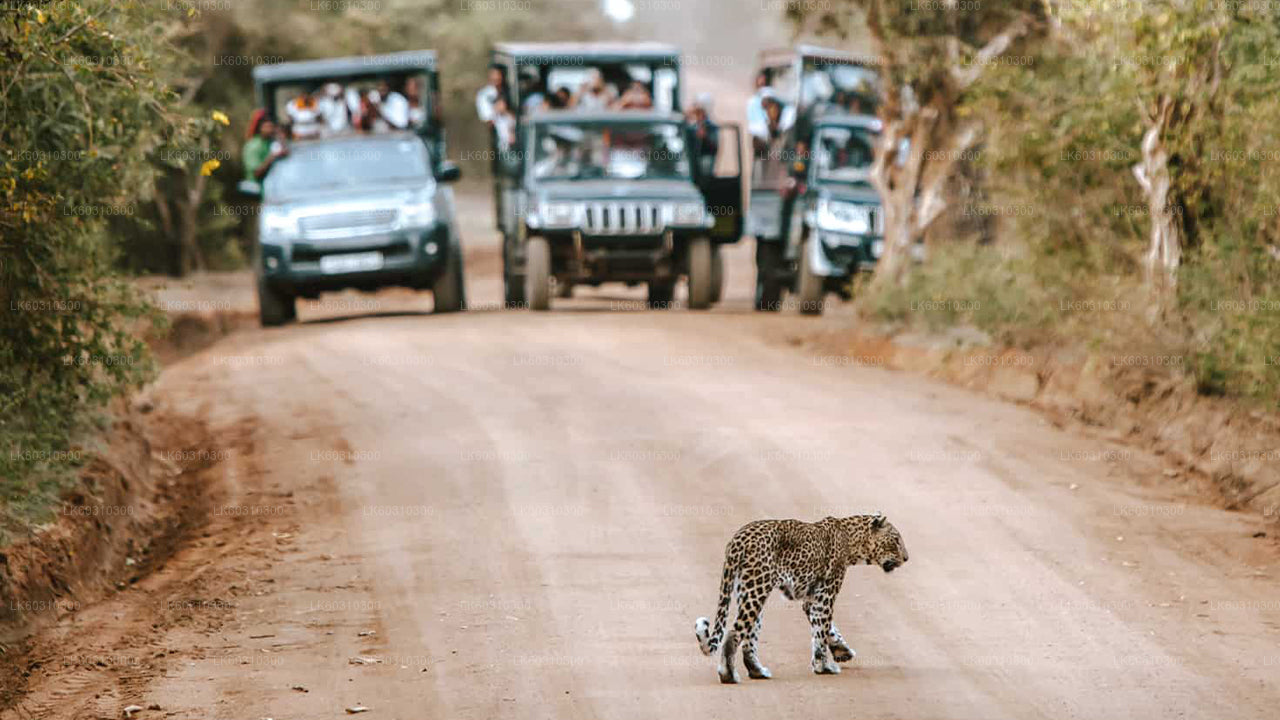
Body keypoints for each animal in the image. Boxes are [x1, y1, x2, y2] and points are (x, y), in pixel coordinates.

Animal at [696, 507, 906, 681]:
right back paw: (728, 675)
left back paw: (757, 671)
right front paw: (824, 666)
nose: (906, 558)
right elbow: (822, 630)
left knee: (749, 636)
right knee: (734, 633)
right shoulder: (826, 594)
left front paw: (841, 651)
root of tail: (737, 539)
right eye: (895, 540)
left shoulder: (812, 598)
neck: (852, 540)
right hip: (757, 588)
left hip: (747, 590)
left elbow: (827, 629)